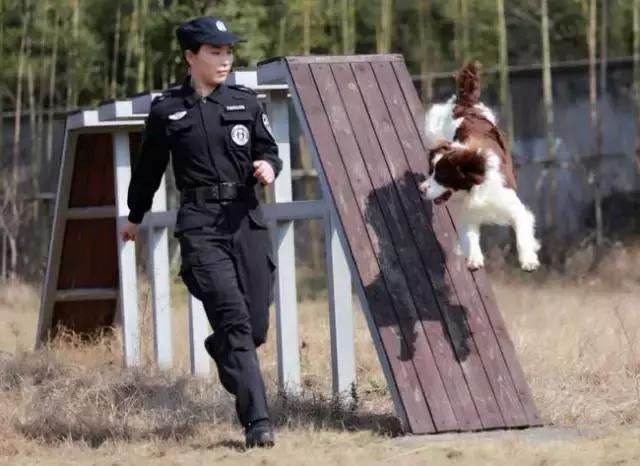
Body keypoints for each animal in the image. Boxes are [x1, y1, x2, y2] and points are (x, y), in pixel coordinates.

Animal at [420, 63, 540, 272]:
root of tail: (465, 106)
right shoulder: (468, 213)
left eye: (441, 176)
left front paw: (528, 260)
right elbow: (469, 236)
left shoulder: (512, 205)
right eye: (430, 172)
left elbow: (522, 228)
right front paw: (474, 260)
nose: (421, 188)